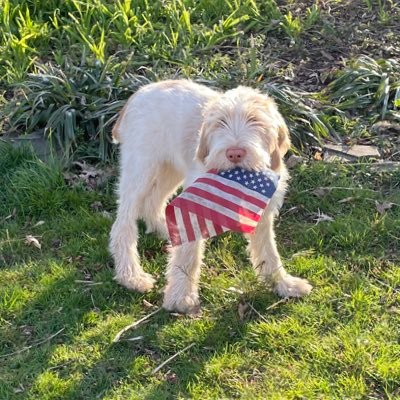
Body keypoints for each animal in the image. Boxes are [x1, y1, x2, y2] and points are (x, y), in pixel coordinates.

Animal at [110, 79, 312, 314]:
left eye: (255, 120)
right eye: (220, 123)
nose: (234, 153)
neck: (237, 177)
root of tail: (138, 93)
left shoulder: (261, 213)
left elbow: (268, 251)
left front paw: (283, 284)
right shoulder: (194, 204)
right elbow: (188, 255)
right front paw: (181, 297)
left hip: (170, 169)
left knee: (153, 203)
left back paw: (169, 232)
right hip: (141, 169)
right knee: (123, 224)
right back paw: (131, 276)